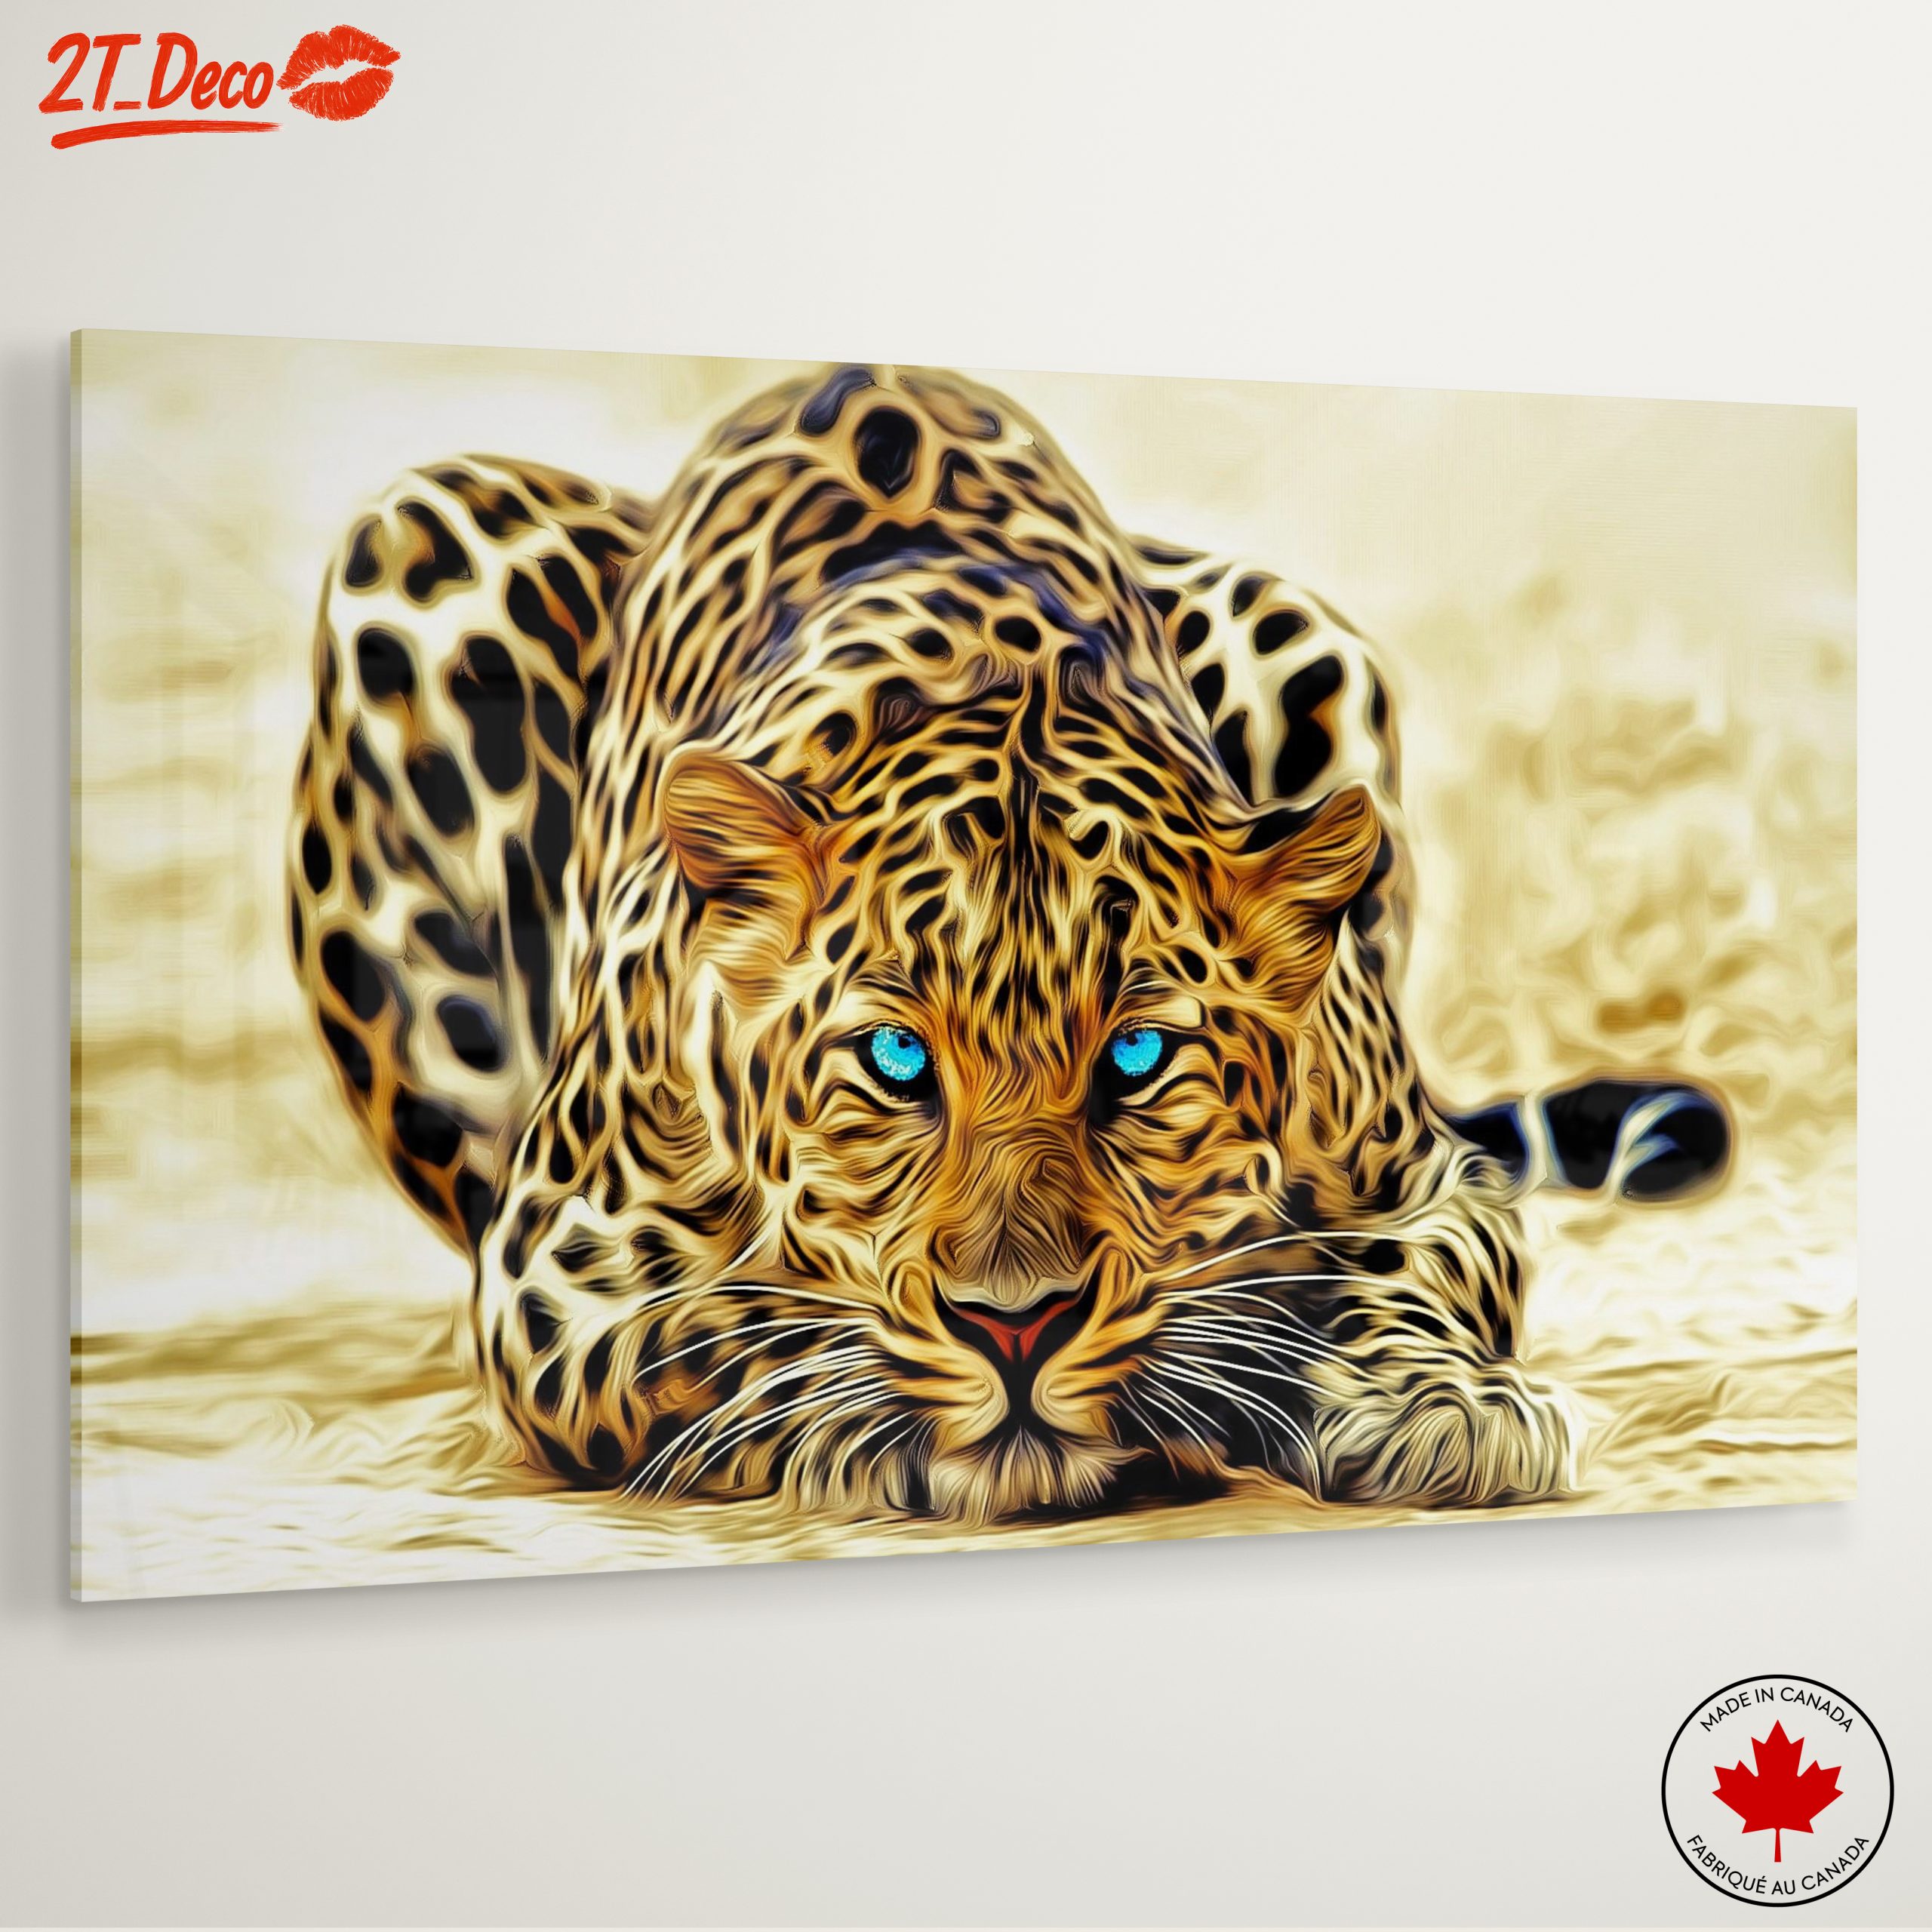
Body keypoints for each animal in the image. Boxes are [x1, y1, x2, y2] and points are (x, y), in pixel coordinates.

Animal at [288, 363, 1730, 1524]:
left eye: (1139, 1058)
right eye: (896, 1064)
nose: (1017, 1325)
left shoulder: (1421, 1175)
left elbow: (1420, 1270)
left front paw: (1440, 1405)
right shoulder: (555, 1263)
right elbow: (717, 1326)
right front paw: (869, 1417)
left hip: (1297, 627)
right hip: (418, 546)